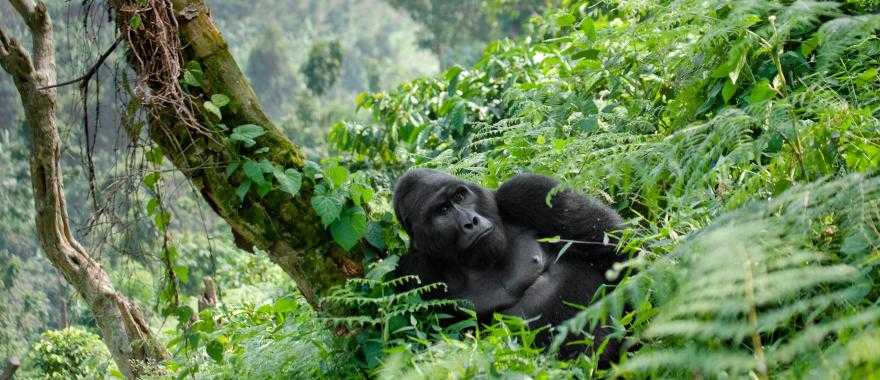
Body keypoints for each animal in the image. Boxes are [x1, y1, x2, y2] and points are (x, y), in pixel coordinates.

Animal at [392, 168, 624, 360]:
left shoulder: (527, 191)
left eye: (460, 196)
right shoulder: (415, 269)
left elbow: (615, 247)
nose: (471, 222)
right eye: (443, 211)